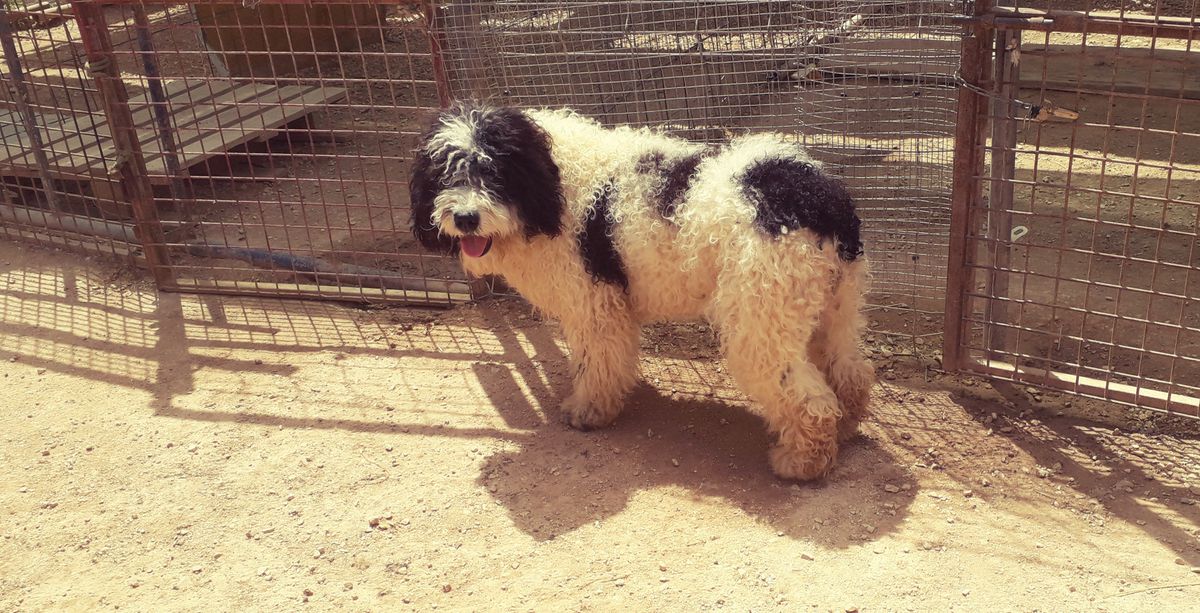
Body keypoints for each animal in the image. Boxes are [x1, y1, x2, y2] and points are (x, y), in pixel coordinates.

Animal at [410, 104, 873, 479]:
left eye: (493, 171)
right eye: (444, 173)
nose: (465, 218)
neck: (554, 186)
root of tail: (819, 198)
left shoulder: (595, 303)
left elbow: (597, 362)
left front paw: (590, 411)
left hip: (760, 321)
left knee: (810, 400)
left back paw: (802, 462)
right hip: (832, 309)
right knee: (850, 374)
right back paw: (845, 428)